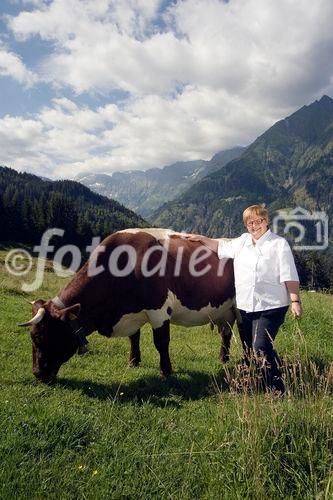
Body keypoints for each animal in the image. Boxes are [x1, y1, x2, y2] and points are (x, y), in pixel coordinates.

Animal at [19, 229, 239, 380]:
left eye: (38, 337)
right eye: (32, 336)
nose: (37, 373)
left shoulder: (159, 309)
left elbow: (161, 342)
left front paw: (166, 371)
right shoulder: (132, 312)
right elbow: (134, 337)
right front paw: (133, 361)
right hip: (225, 311)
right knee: (226, 333)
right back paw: (223, 358)